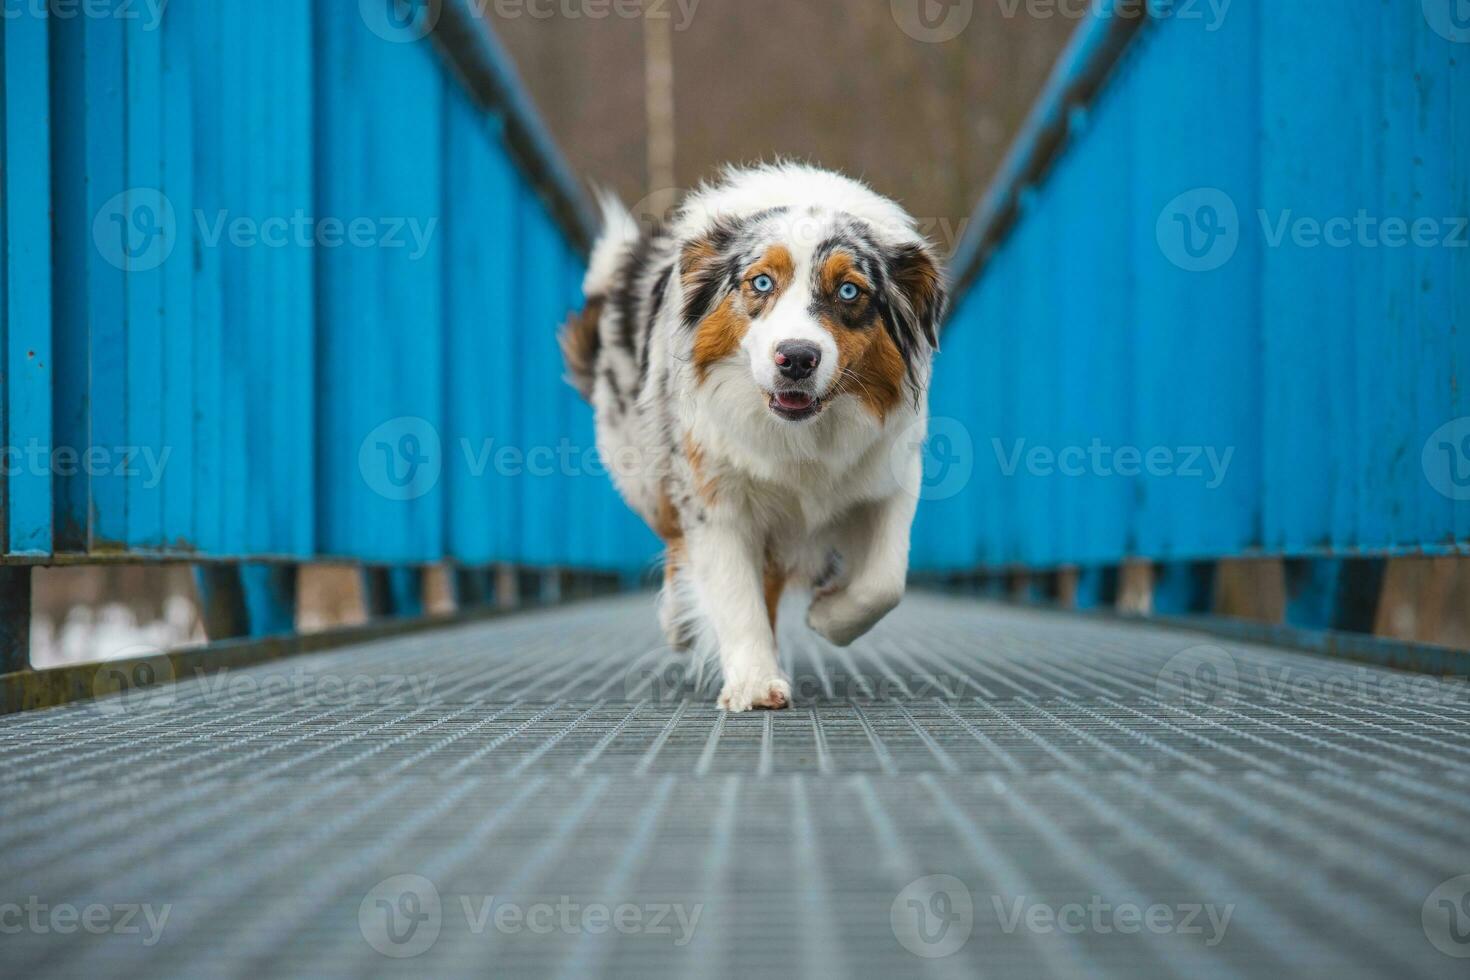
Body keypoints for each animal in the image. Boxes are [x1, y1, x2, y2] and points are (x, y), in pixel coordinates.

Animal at [561, 163, 940, 714]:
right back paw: (678, 622)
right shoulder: (714, 494)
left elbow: (884, 581)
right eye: (761, 282)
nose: (797, 357)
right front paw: (756, 683)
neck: (800, 437)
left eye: (849, 292)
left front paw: (826, 618)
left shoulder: (889, 473)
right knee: (677, 545)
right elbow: (734, 593)